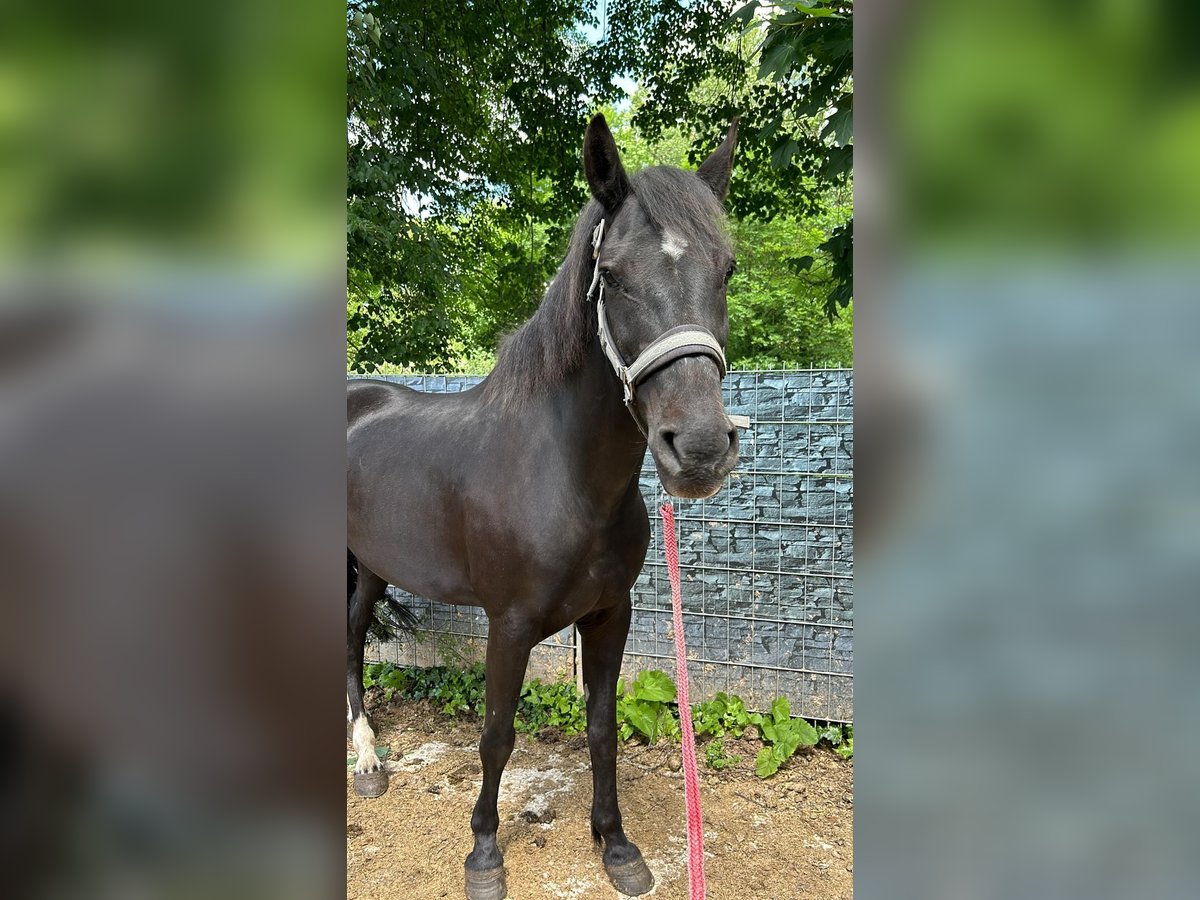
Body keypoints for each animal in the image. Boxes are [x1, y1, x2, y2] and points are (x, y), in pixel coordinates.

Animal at [348, 116, 739, 897]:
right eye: (611, 275)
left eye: (727, 270)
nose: (701, 449)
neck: (563, 480)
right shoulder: (510, 624)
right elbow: (497, 735)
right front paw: (483, 853)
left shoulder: (609, 615)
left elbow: (602, 728)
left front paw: (616, 845)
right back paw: (365, 758)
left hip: (372, 566)